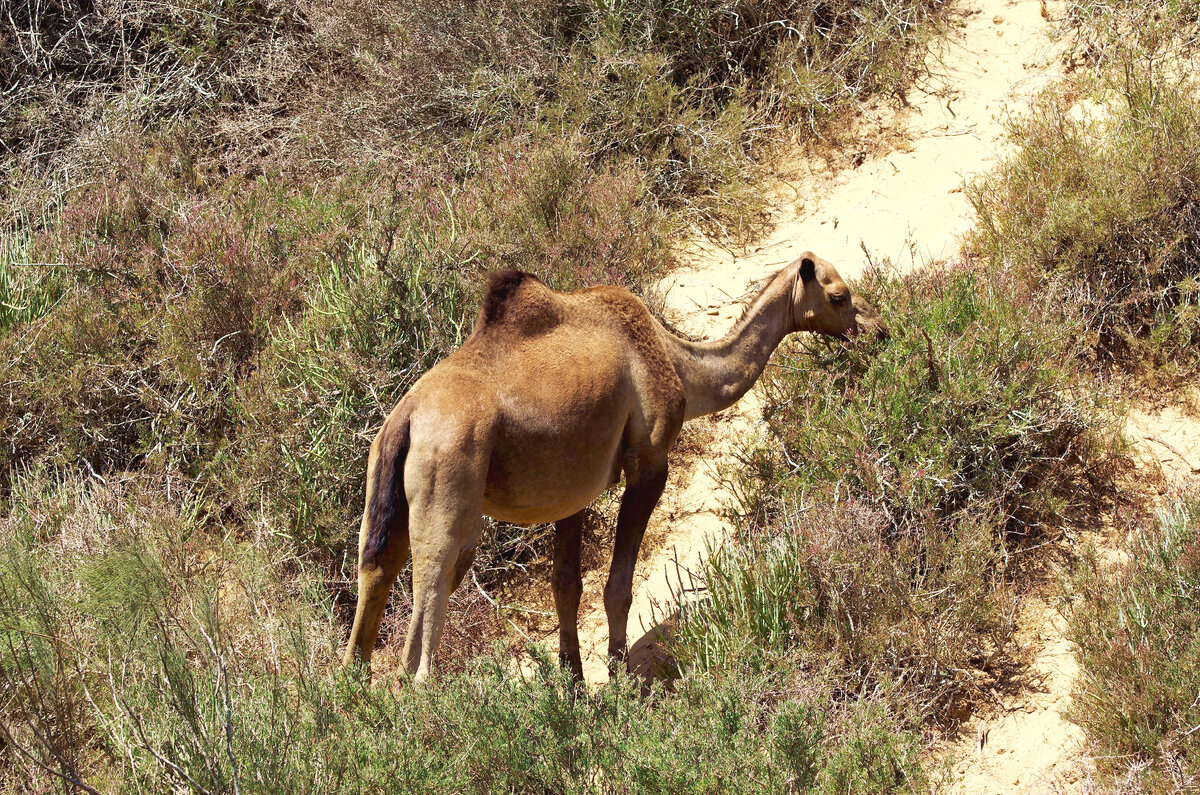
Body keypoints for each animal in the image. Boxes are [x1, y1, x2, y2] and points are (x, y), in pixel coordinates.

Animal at [343, 252, 888, 682]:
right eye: (839, 295)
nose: (879, 329)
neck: (677, 362)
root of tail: (407, 418)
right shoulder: (650, 460)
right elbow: (618, 586)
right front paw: (621, 681)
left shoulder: (571, 489)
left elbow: (566, 585)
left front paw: (574, 688)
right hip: (450, 481)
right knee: (422, 634)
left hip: (382, 484)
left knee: (373, 577)